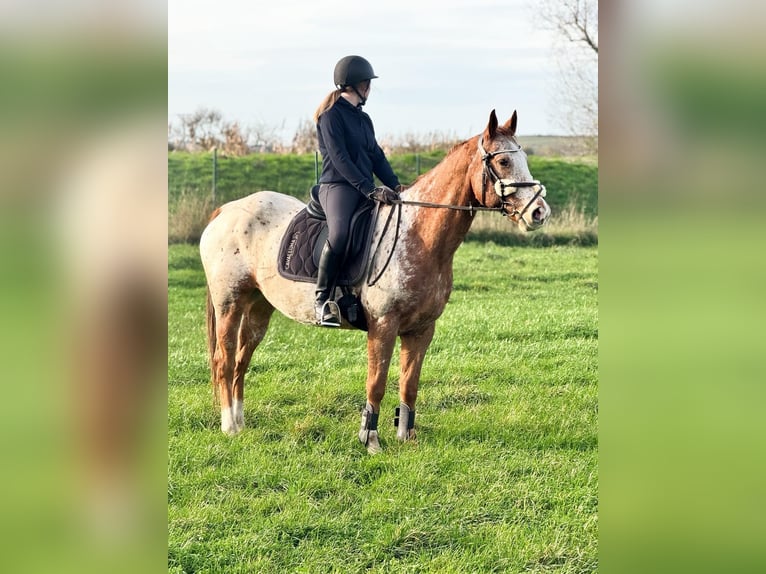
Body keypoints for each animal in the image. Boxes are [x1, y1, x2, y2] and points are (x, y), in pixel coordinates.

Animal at [200, 109, 551, 453]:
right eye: (503, 162)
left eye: (523, 158)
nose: (539, 212)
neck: (418, 234)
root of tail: (226, 211)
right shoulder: (383, 325)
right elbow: (377, 383)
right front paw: (370, 439)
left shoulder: (421, 329)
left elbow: (409, 385)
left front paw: (407, 437)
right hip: (229, 303)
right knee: (225, 360)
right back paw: (229, 426)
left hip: (259, 306)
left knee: (242, 361)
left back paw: (240, 422)